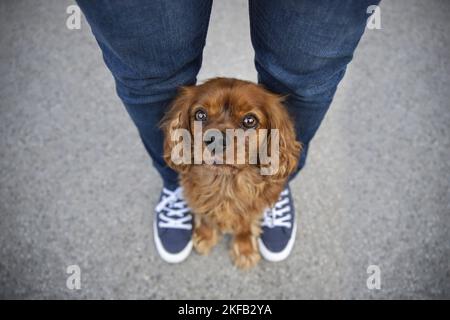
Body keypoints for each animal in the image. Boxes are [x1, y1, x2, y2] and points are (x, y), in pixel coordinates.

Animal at [160, 78, 300, 270]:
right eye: (200, 115)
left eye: (250, 120)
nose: (216, 140)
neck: (226, 183)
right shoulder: (199, 198)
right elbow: (206, 216)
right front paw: (205, 235)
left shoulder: (252, 208)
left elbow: (244, 225)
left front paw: (245, 249)